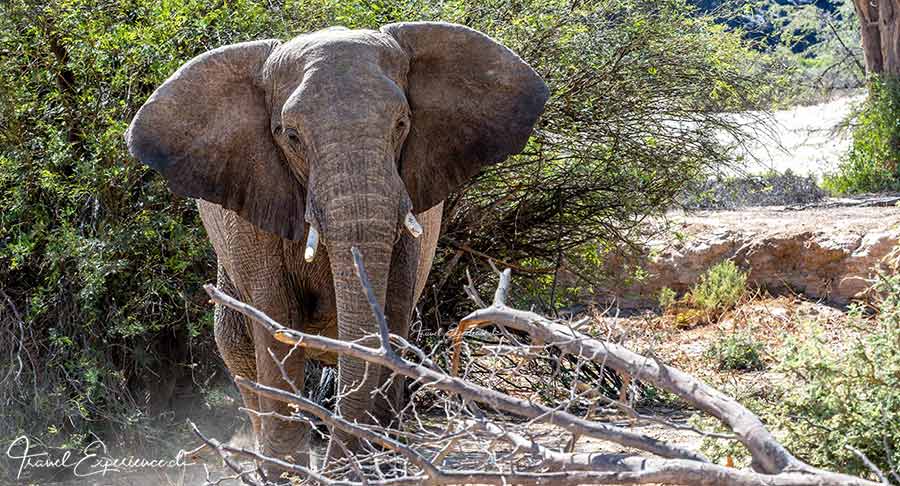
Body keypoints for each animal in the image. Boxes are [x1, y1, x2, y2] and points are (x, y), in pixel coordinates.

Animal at [125, 20, 548, 476]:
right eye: (291, 136)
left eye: (402, 124)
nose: (334, 468)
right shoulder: (251, 213)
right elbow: (275, 319)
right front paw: (287, 474)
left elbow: (393, 314)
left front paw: (378, 466)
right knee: (237, 347)